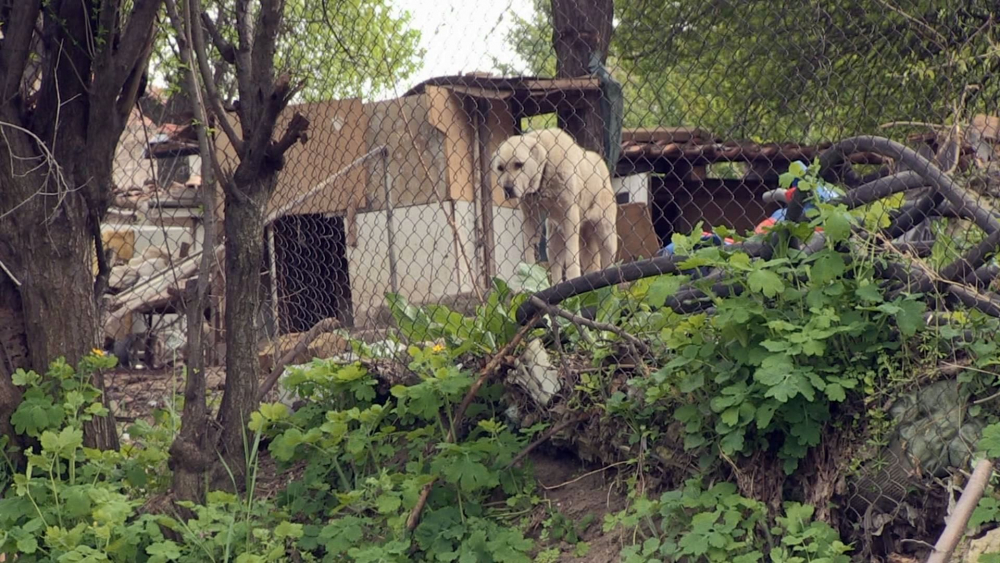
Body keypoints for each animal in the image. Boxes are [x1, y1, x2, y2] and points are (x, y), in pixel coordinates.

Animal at [492, 130, 616, 284]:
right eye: (500, 168)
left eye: (518, 164)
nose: (507, 189)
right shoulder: (529, 218)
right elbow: (529, 250)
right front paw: (529, 277)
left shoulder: (570, 216)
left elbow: (571, 257)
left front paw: (573, 278)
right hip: (554, 240)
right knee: (556, 265)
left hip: (606, 233)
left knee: (609, 260)